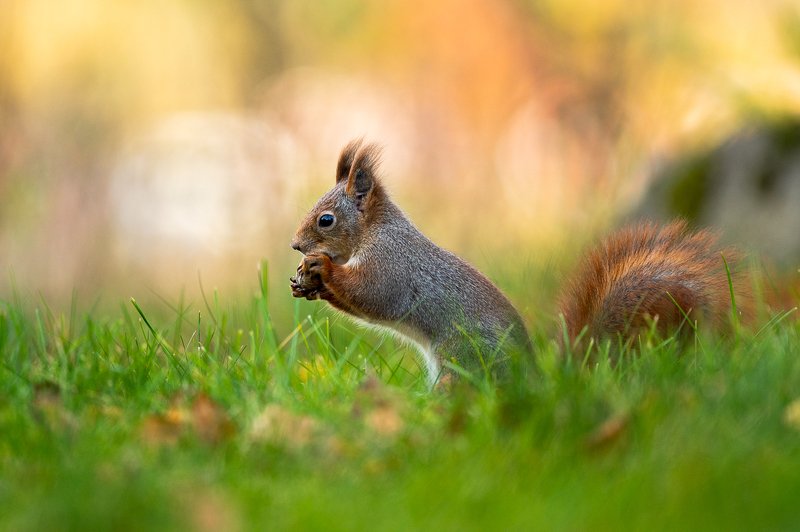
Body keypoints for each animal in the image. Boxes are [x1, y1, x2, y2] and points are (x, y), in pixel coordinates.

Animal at [290, 139, 747, 383]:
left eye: (326, 220)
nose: (295, 246)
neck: (375, 231)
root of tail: (532, 381)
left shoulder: (392, 263)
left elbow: (375, 294)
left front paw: (322, 269)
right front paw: (305, 282)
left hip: (463, 357)